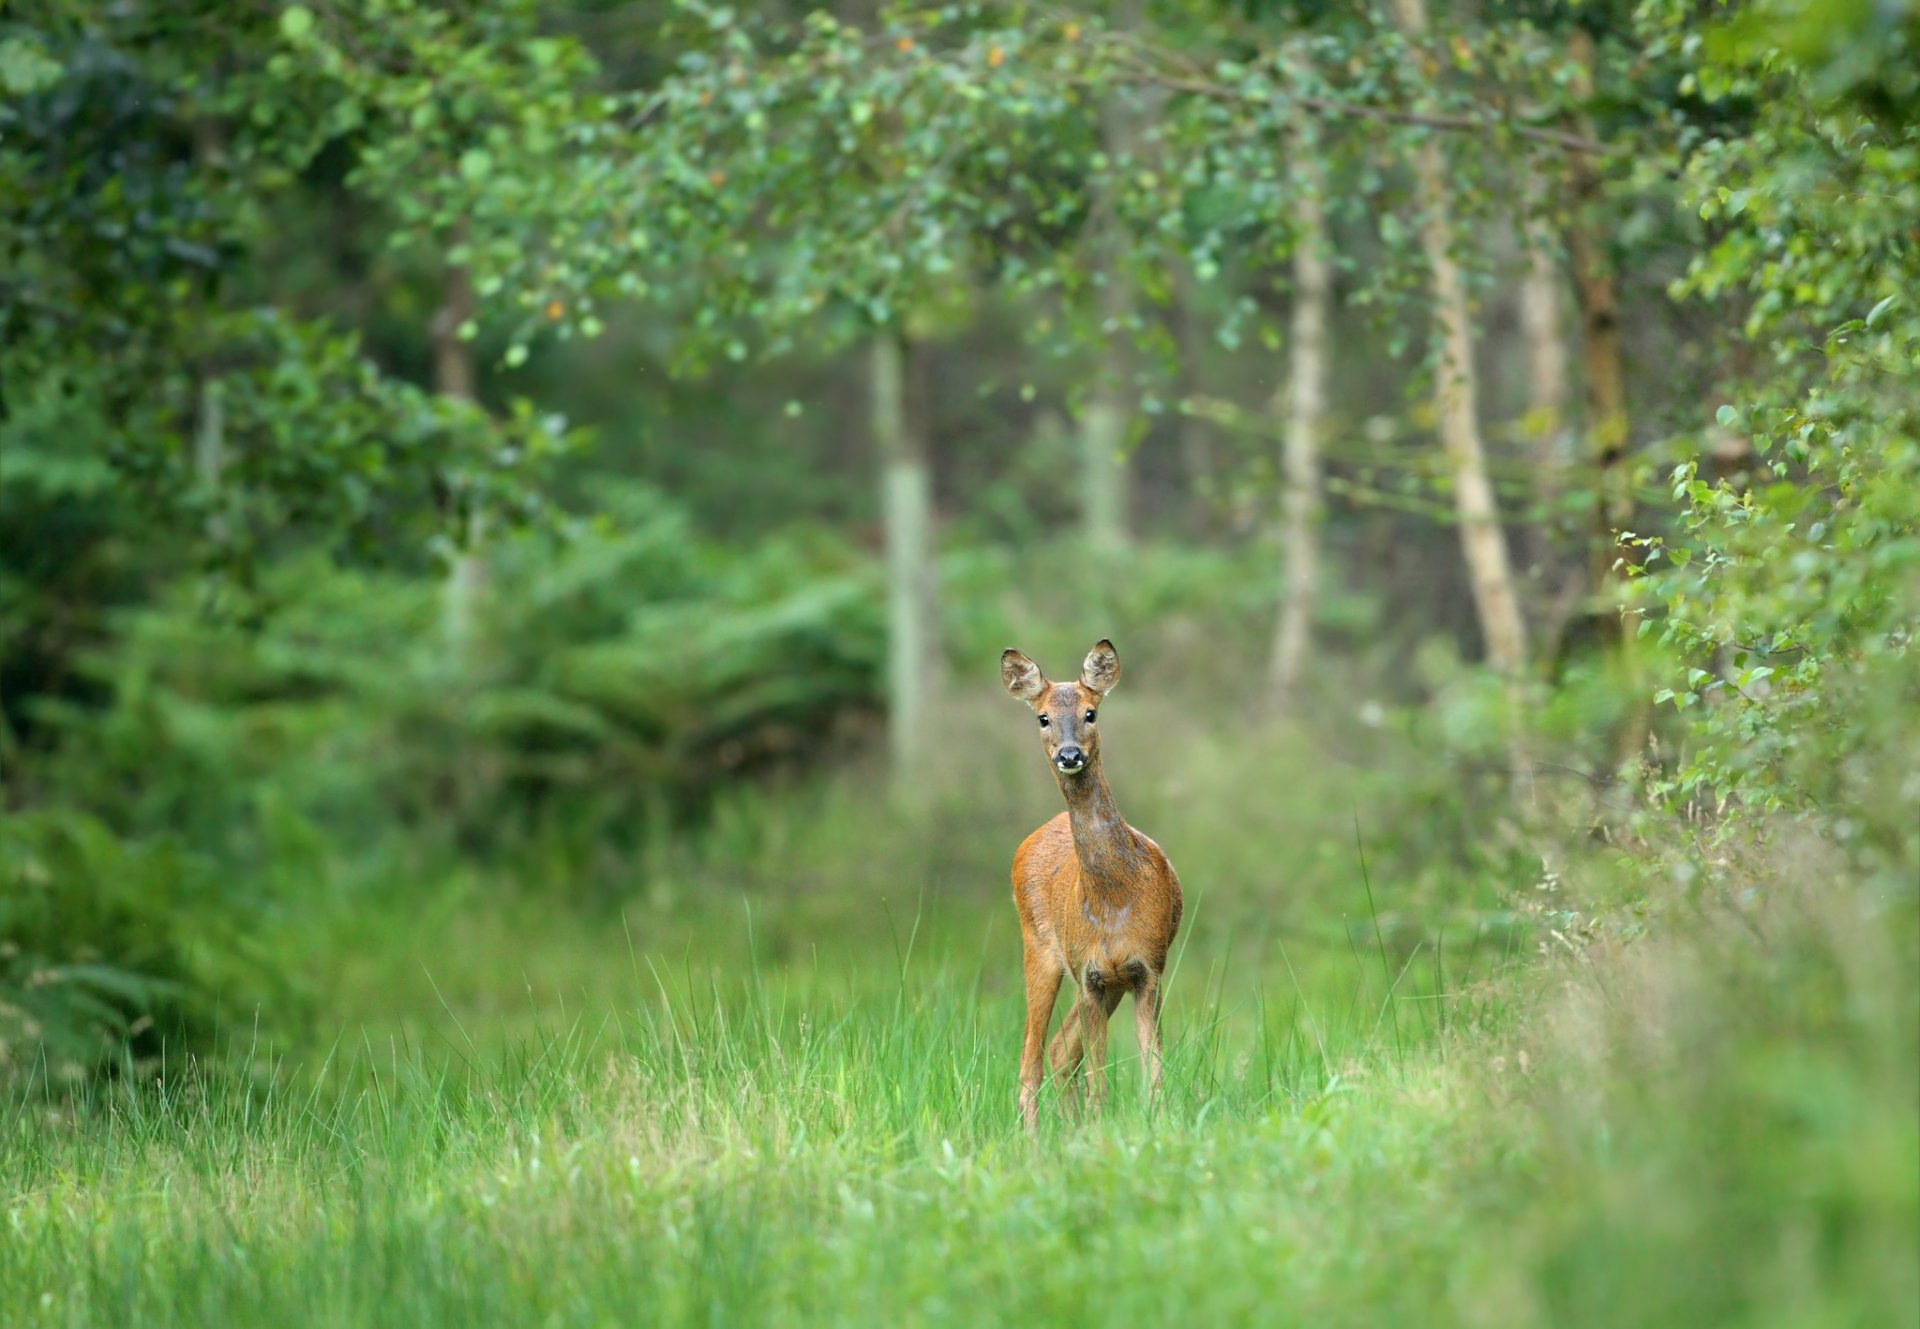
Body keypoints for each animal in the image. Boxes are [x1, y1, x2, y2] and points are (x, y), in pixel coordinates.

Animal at [1000, 638, 1183, 1132]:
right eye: (1043, 717)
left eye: (1091, 712)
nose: (1069, 755)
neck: (1113, 899)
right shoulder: (1090, 976)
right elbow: (1099, 1077)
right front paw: (1100, 1129)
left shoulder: (1147, 969)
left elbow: (1154, 1069)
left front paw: (1157, 1124)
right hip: (1039, 950)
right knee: (1031, 1060)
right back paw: (1035, 1140)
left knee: (1060, 1051)